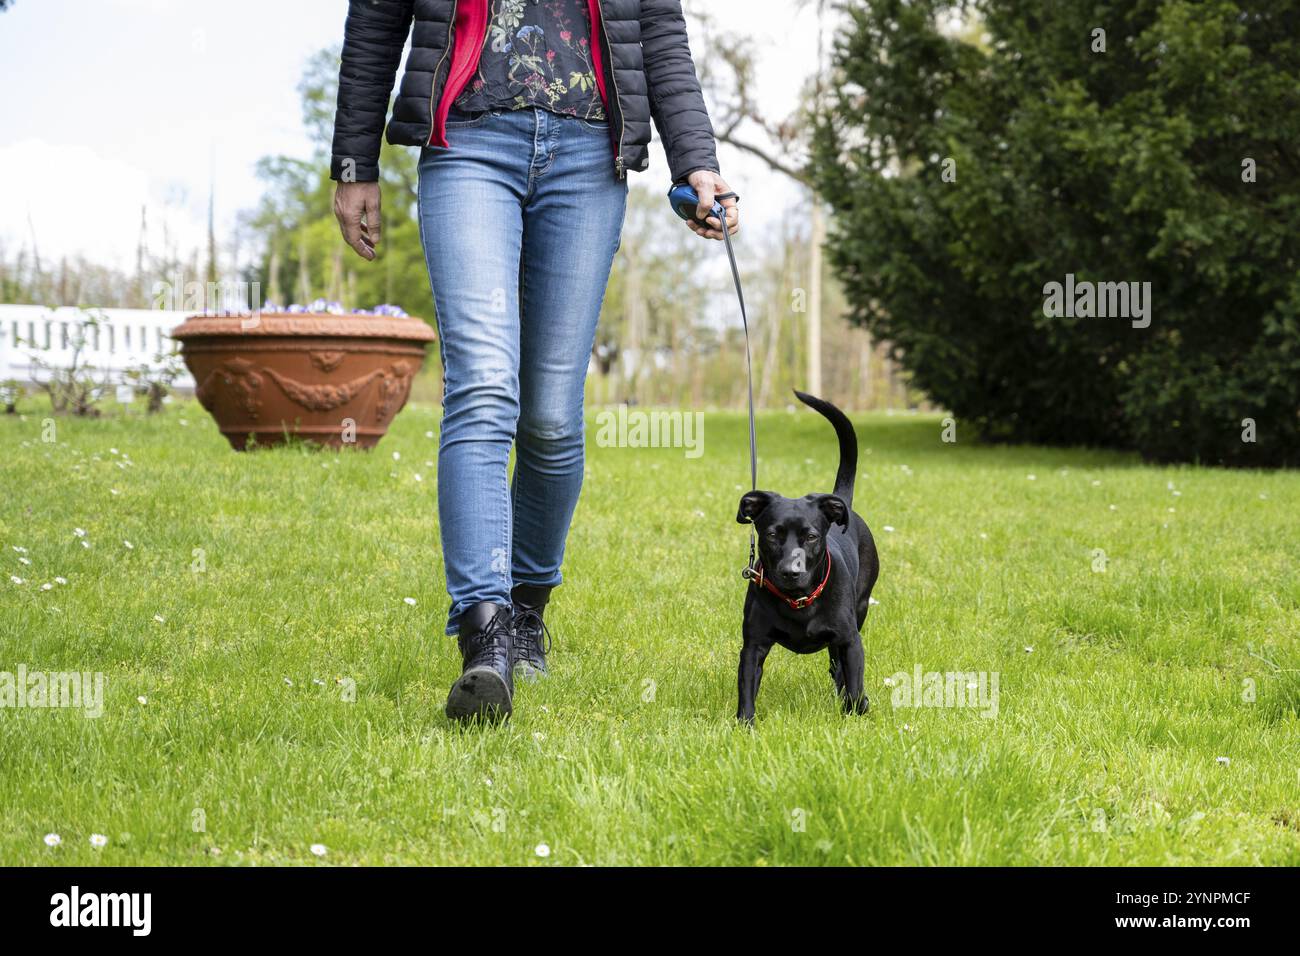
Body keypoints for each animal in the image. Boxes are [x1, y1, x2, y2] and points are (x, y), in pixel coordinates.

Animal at [738, 392, 878, 723]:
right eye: (772, 535)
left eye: (812, 537)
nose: (791, 571)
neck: (798, 601)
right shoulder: (752, 646)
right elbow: (747, 687)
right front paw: (744, 725)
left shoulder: (850, 642)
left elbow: (854, 684)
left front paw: (854, 715)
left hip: (861, 607)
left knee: (839, 670)